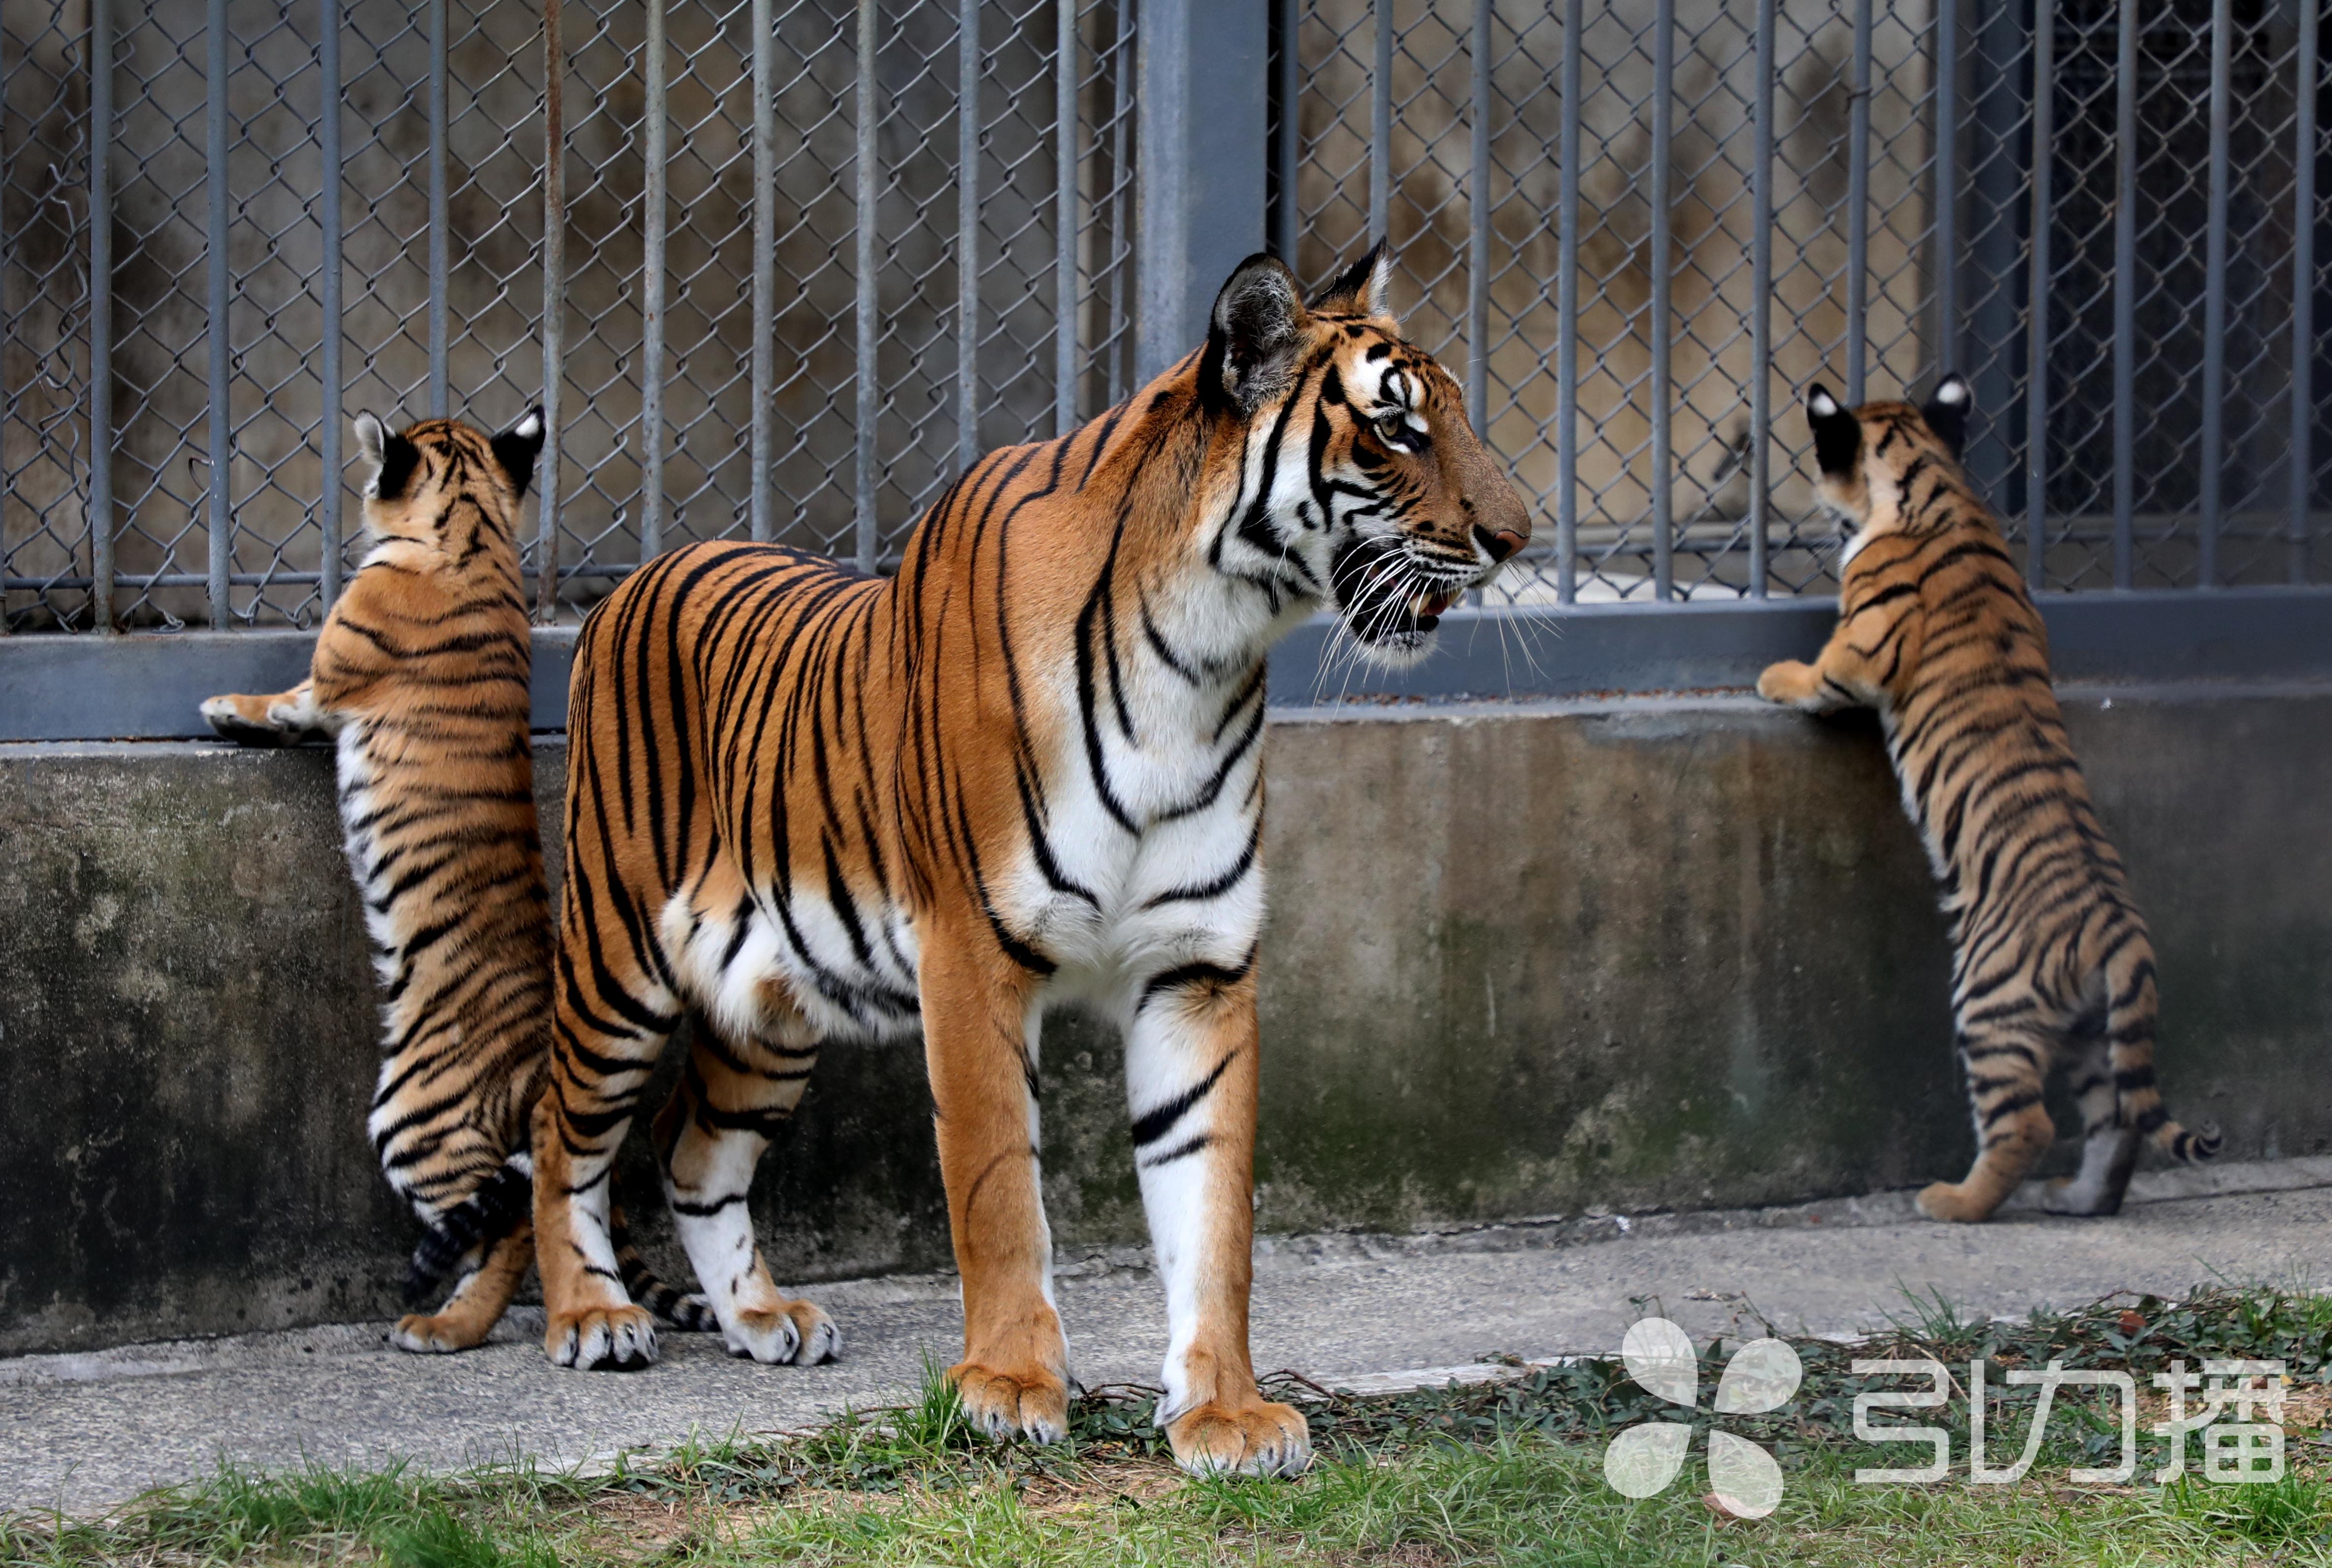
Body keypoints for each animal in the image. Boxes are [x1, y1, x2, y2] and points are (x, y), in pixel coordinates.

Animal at [534, 250, 1530, 1472]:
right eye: (1396, 427)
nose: (1517, 538)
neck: (1204, 650)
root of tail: (636, 574)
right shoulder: (974, 952)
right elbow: (999, 1183)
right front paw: (1008, 1387)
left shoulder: (1198, 968)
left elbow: (1215, 1208)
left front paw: (1227, 1410)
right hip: (617, 956)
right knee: (558, 1130)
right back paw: (592, 1313)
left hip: (773, 1006)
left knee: (693, 1156)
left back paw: (762, 1314)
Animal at [1753, 375, 2210, 1221]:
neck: (1932, 476)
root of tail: (2120, 935)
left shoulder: (1862, 651)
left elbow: (1823, 674)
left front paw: (1775, 678)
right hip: (2090, 1032)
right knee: (2115, 1120)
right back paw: (2078, 1199)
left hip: (1990, 1004)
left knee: (2026, 1125)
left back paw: (1953, 1202)